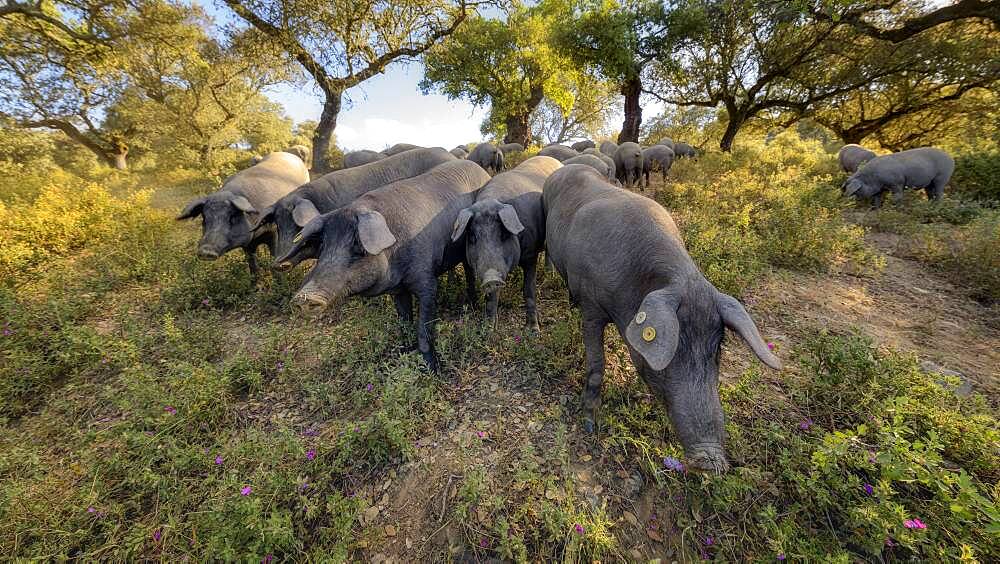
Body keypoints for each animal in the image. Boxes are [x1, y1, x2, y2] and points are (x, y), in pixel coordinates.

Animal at [177, 152, 308, 280]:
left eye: (232, 217)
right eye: (204, 218)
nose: (206, 251)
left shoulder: (274, 231)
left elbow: (275, 260)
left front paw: (280, 281)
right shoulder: (247, 244)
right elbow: (252, 266)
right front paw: (254, 283)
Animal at [274, 160, 492, 370]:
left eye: (358, 246)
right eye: (323, 246)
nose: (303, 298)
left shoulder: (427, 280)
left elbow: (424, 328)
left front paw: (432, 370)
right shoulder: (398, 289)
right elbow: (404, 321)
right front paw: (403, 353)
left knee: (469, 272)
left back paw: (471, 304)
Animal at [452, 156, 564, 328]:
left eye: (504, 234)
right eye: (472, 237)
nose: (491, 278)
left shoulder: (530, 254)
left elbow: (529, 290)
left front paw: (533, 329)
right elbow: (491, 297)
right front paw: (488, 328)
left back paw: (549, 274)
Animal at [544, 164, 784, 472]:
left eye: (717, 350)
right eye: (674, 350)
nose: (710, 461)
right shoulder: (591, 304)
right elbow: (597, 363)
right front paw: (589, 423)